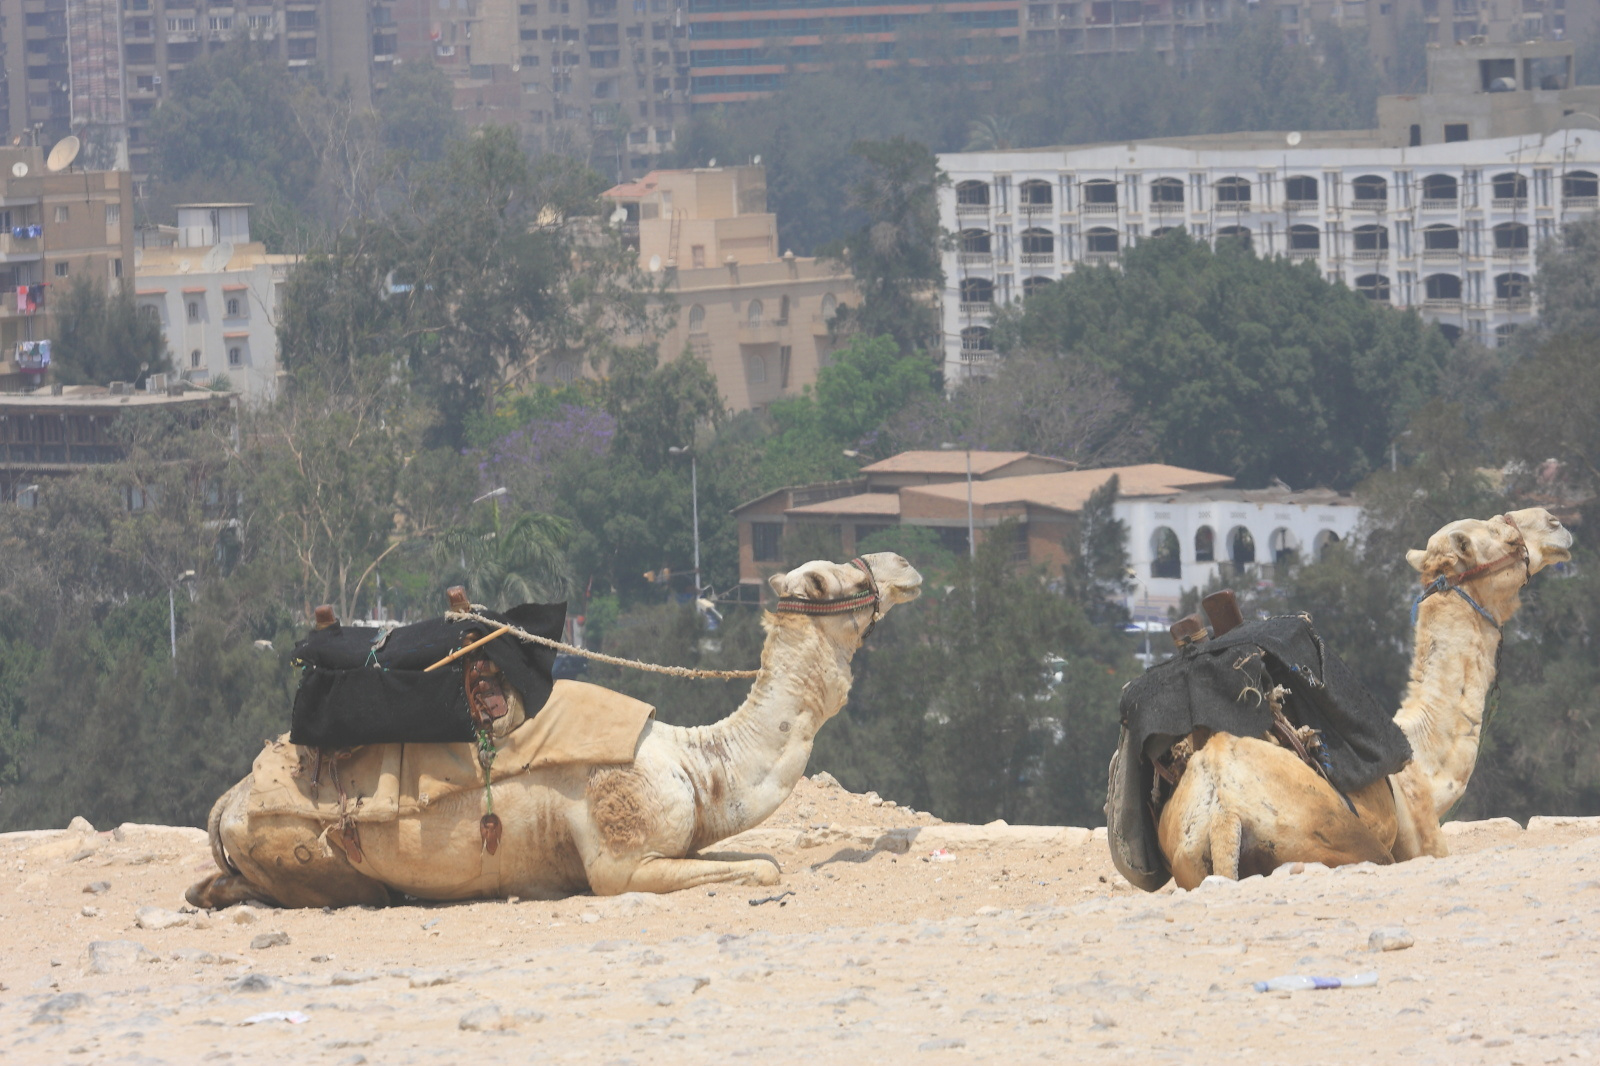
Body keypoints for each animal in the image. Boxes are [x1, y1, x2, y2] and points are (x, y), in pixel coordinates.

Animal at [184, 547, 928, 902]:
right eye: (835, 579)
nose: (904, 565)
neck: (697, 765)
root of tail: (228, 802)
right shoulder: (622, 862)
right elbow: (764, 871)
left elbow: (763, 861)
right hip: (305, 849)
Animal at [1152, 505, 1574, 889]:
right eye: (1505, 536)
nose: (1556, 523)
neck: (1423, 768)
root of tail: (1223, 817)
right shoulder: (1426, 842)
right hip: (1335, 842)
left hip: (1190, 861)